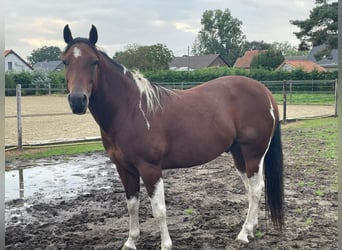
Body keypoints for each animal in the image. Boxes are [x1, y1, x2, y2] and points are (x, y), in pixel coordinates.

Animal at [61, 23, 284, 250]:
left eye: (94, 62)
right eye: (65, 61)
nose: (78, 100)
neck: (130, 110)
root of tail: (264, 91)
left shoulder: (150, 168)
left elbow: (159, 210)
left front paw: (166, 244)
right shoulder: (124, 169)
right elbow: (132, 206)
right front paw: (131, 241)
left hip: (253, 154)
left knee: (256, 190)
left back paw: (243, 233)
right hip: (238, 154)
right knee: (250, 189)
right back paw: (251, 229)